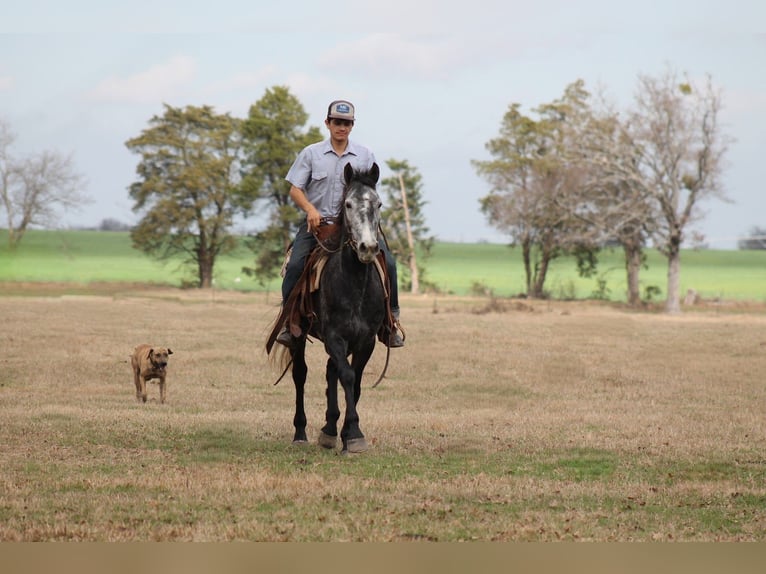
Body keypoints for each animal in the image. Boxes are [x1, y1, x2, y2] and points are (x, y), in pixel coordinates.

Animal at [266, 162, 390, 454]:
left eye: (378, 203)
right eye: (348, 204)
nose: (368, 247)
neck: (354, 285)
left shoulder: (365, 340)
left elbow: (354, 381)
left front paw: (347, 433)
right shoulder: (334, 336)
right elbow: (347, 376)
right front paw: (353, 434)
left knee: (330, 371)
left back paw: (330, 430)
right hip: (298, 337)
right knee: (301, 374)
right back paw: (301, 432)